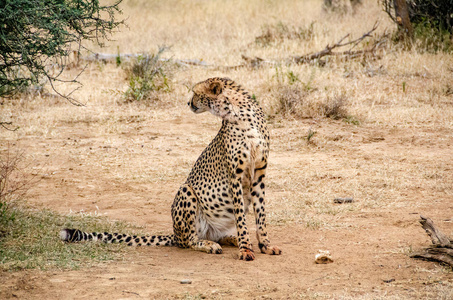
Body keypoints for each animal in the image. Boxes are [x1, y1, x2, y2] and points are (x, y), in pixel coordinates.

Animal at [60, 77, 278, 260]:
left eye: (196, 93)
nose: (188, 103)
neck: (240, 114)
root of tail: (174, 234)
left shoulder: (259, 173)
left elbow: (261, 214)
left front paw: (265, 245)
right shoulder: (235, 175)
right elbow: (241, 217)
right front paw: (246, 249)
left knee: (216, 236)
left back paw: (230, 239)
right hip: (186, 191)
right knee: (189, 241)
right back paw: (209, 245)